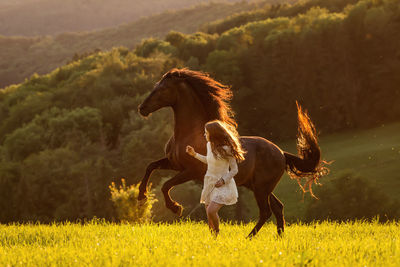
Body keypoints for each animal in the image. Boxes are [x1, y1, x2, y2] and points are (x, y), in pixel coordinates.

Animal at [138, 68, 328, 238]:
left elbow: (165, 185)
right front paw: (141, 196)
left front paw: (176, 207)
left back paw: (249, 237)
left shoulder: (190, 171)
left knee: (266, 211)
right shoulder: (174, 164)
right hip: (259, 186)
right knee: (278, 207)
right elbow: (150, 166)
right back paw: (279, 237)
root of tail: (281, 152)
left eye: (163, 88)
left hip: (261, 188)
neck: (188, 134)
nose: (142, 108)